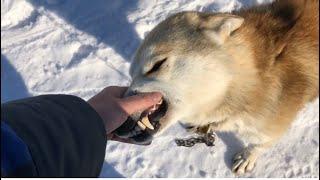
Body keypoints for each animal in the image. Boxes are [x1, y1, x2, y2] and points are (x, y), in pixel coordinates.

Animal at [119, 0, 318, 174]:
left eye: (156, 66)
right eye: (131, 75)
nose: (123, 121)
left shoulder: (271, 125)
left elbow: (260, 144)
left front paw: (247, 157)